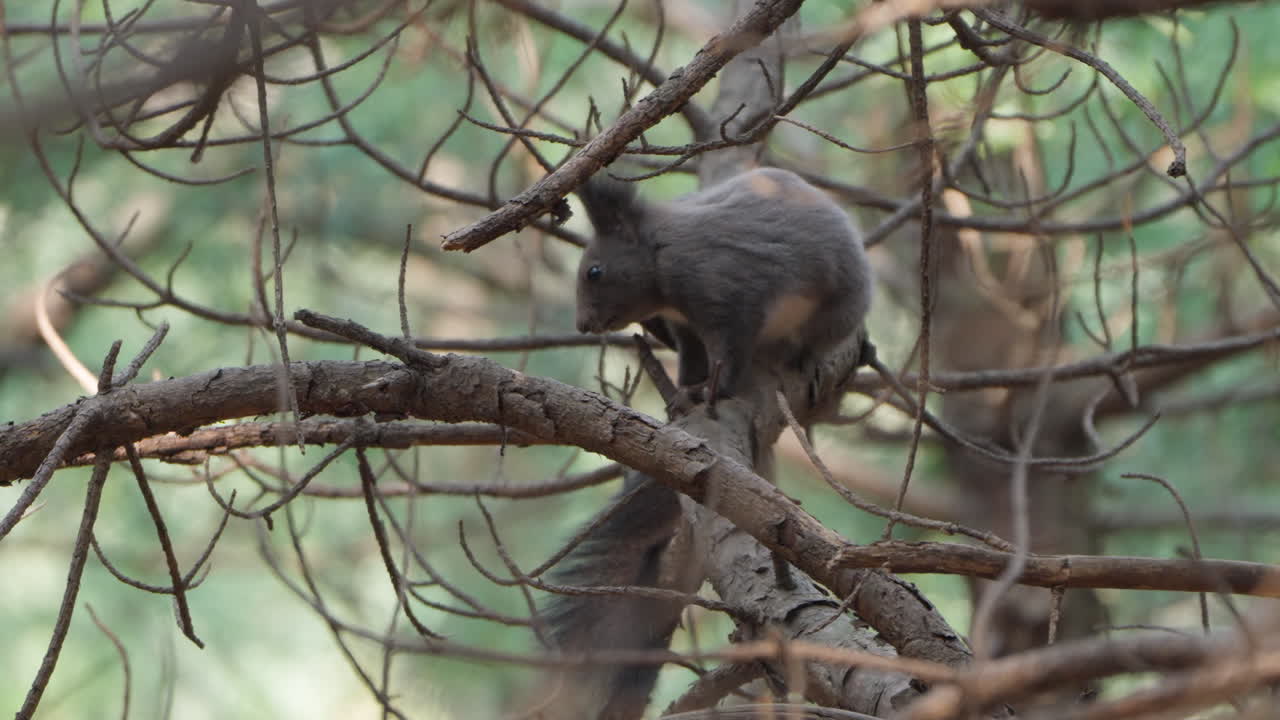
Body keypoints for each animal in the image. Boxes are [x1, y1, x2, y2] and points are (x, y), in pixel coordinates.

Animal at [574, 166, 873, 402]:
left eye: (594, 272)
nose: (582, 325)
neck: (659, 254)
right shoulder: (684, 326)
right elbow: (692, 356)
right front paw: (687, 389)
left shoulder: (725, 298)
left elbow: (728, 351)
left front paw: (714, 389)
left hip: (837, 310)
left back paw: (804, 355)